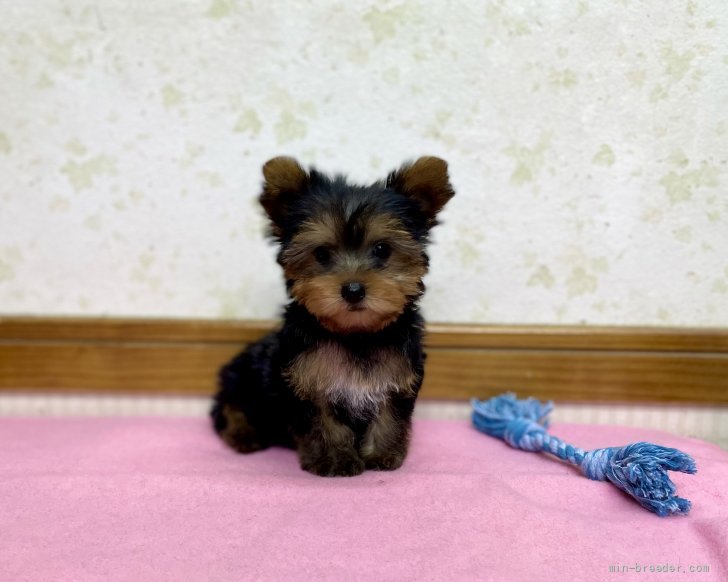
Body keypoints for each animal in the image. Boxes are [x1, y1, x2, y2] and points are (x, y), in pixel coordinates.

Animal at [208, 157, 456, 476]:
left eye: (382, 249)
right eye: (322, 254)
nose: (353, 290)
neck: (355, 334)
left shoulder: (398, 375)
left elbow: (389, 416)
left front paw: (381, 455)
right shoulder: (306, 382)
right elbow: (324, 424)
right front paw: (335, 458)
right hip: (242, 379)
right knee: (228, 408)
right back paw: (244, 434)